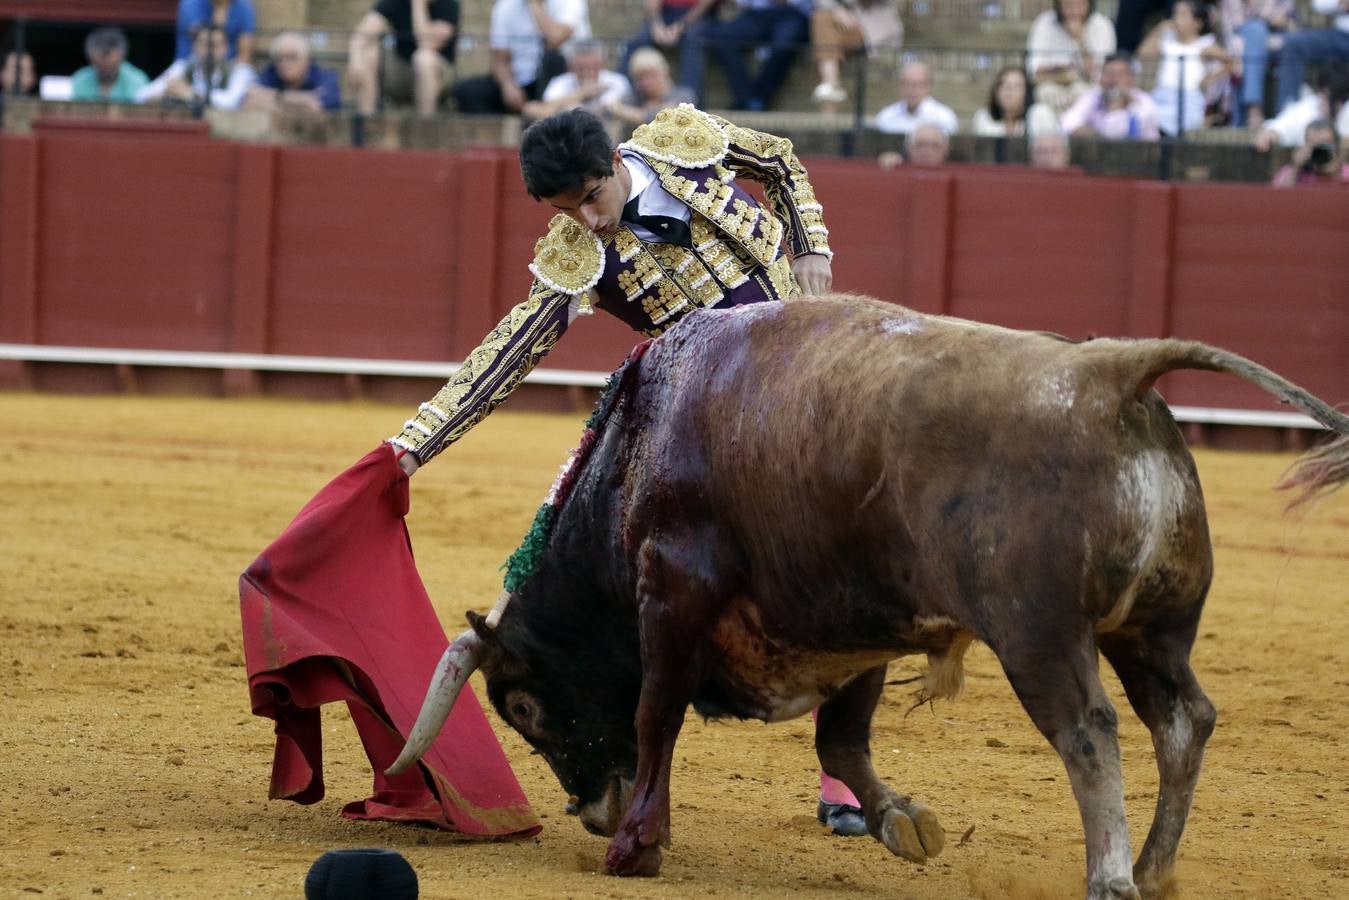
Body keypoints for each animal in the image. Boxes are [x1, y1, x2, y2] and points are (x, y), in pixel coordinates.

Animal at [385, 296, 1343, 900]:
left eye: (522, 706)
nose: (589, 816)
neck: (640, 449)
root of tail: (1110, 375)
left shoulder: (675, 589)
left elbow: (657, 714)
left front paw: (638, 846)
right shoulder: (856, 622)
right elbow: (842, 739)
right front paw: (901, 822)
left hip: (1037, 633)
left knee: (1088, 730)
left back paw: (1108, 879)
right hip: (1151, 629)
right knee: (1182, 721)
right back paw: (1149, 869)